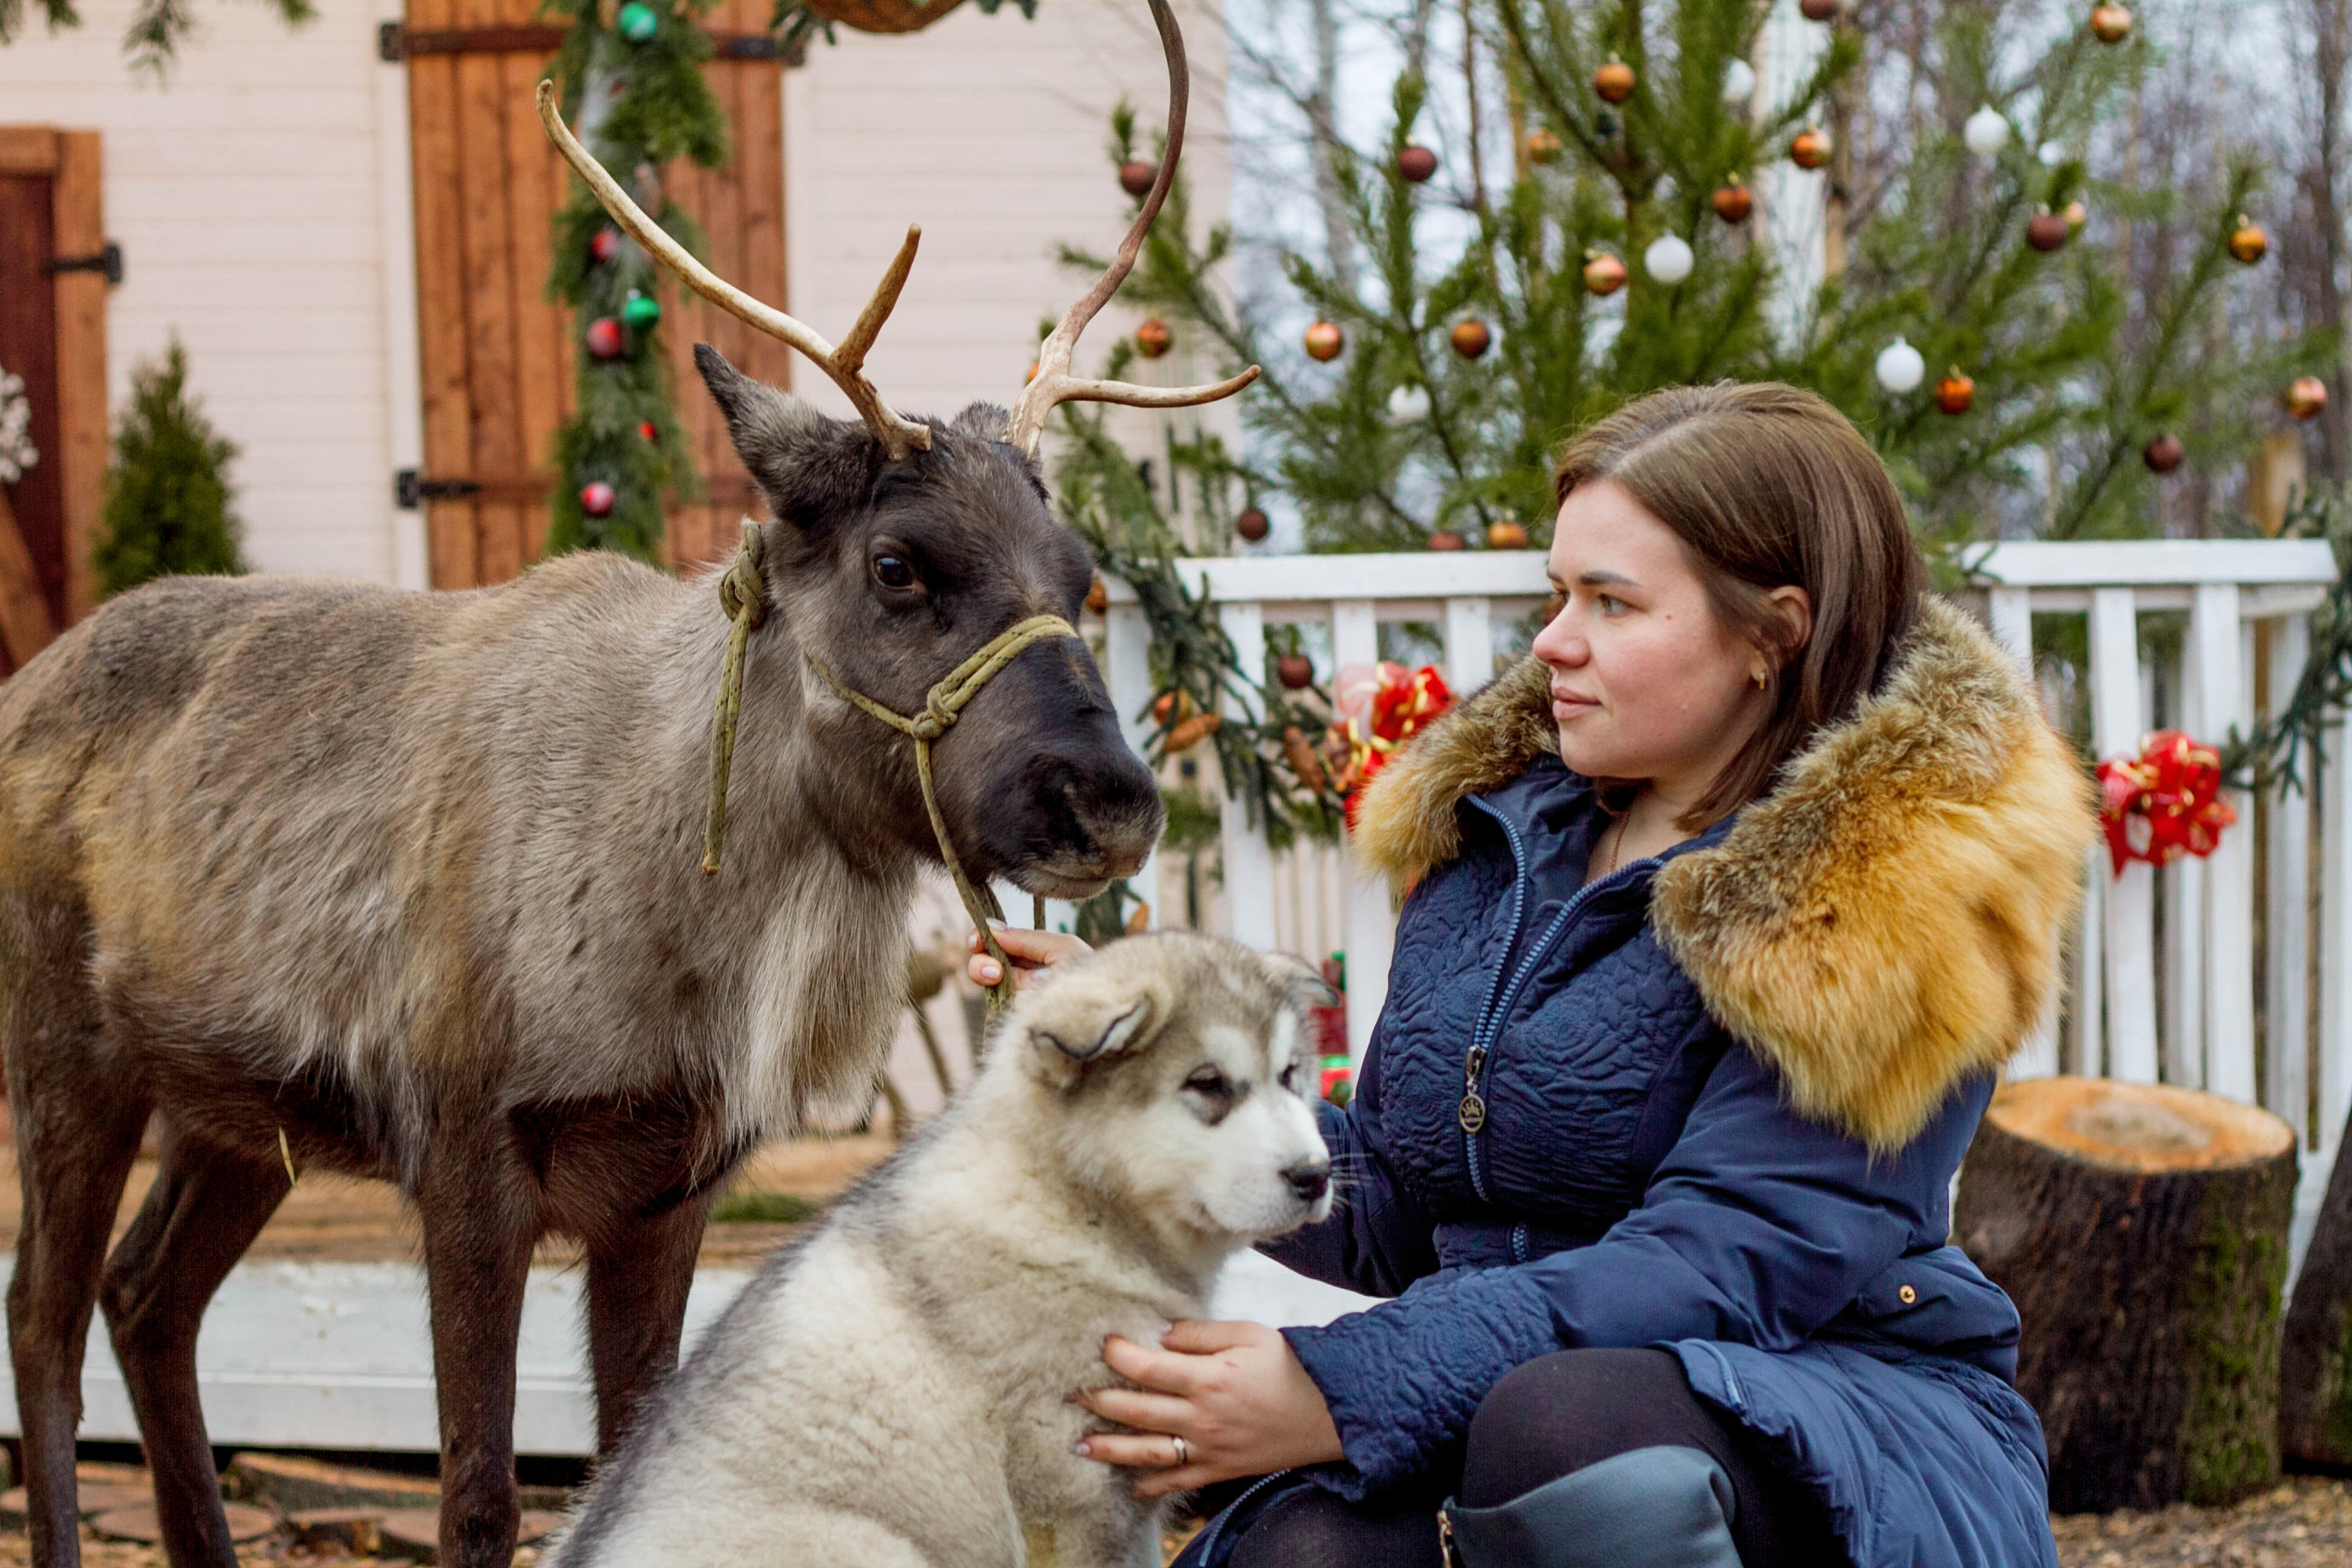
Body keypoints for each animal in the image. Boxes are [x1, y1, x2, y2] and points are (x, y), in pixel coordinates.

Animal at [538, 930, 1336, 1568]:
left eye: (1290, 1076)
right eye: (1209, 1086)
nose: (1316, 1176)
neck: (1065, 1198)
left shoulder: (1126, 1494)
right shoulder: (1072, 1490)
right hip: (872, 1548)